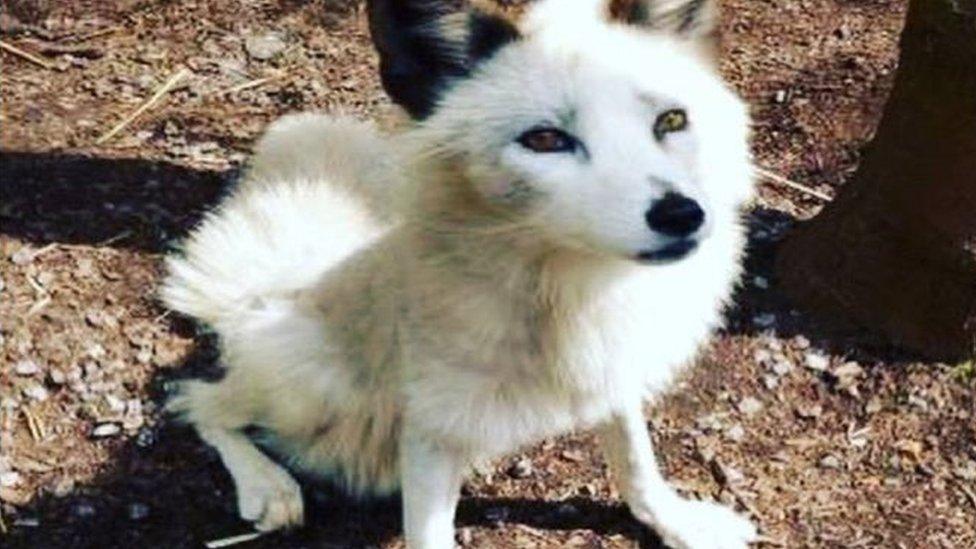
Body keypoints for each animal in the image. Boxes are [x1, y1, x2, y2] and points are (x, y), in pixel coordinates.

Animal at [160, 1, 757, 547]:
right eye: (545, 140)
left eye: (672, 121)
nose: (682, 215)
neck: (569, 290)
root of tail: (267, 293)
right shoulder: (430, 433)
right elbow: (429, 533)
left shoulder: (612, 372)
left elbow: (636, 460)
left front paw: (676, 521)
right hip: (313, 378)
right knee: (197, 401)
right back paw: (268, 485)